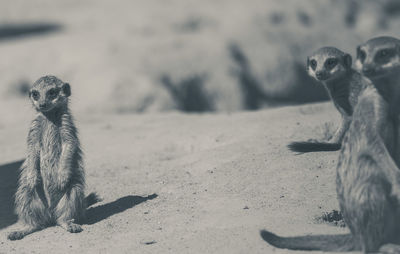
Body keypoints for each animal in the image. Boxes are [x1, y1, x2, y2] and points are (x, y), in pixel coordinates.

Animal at [7, 75, 99, 240]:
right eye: (35, 94)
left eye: (52, 92)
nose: (42, 104)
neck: (49, 116)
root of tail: (50, 213)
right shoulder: (34, 128)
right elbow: (32, 148)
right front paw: (33, 176)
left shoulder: (67, 125)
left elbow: (70, 144)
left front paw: (62, 176)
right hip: (26, 192)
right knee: (31, 211)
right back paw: (23, 229)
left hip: (73, 189)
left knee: (68, 206)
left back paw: (68, 223)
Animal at [260, 36, 400, 253]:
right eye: (314, 62)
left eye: (331, 62)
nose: (319, 73)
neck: (341, 83)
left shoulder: (352, 99)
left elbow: (348, 121)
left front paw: (328, 142)